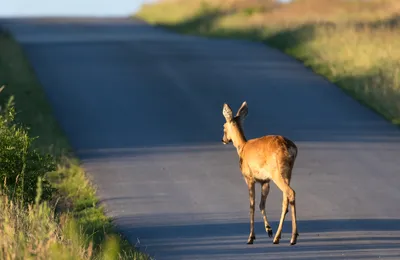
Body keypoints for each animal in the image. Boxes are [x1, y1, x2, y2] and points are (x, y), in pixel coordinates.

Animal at [223, 100, 298, 245]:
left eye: (223, 127)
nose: (223, 139)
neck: (242, 148)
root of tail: (290, 148)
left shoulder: (249, 177)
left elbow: (251, 205)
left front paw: (251, 237)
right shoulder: (265, 181)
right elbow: (261, 204)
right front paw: (269, 230)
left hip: (277, 172)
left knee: (290, 192)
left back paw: (292, 238)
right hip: (287, 172)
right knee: (285, 199)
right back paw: (278, 236)